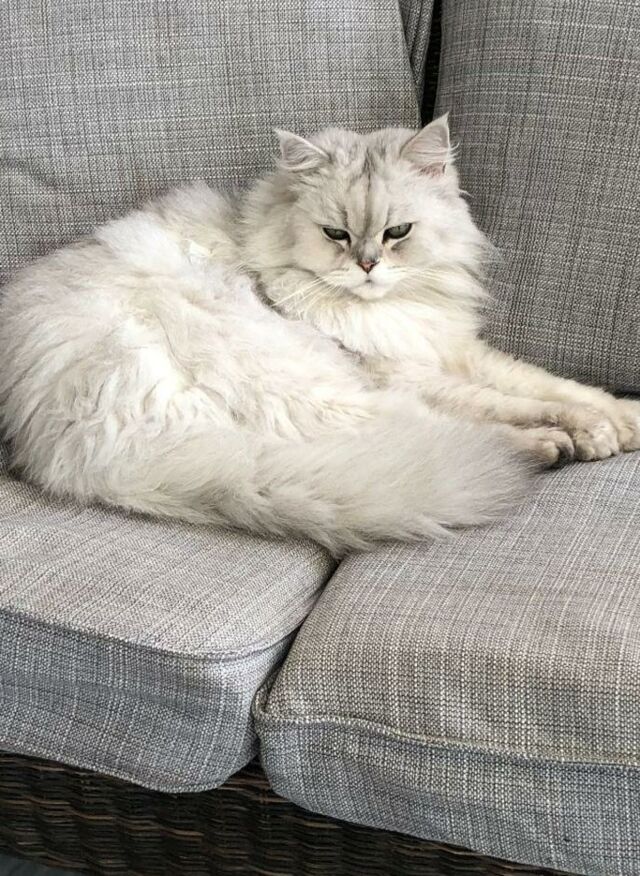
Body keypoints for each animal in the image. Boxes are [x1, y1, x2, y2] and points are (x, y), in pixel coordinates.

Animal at [0, 116, 638, 555]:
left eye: (398, 232)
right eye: (336, 234)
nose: (367, 266)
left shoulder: (450, 351)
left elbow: (555, 385)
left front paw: (623, 420)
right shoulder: (403, 372)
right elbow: (517, 401)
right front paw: (594, 434)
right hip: (312, 380)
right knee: (444, 432)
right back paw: (550, 449)